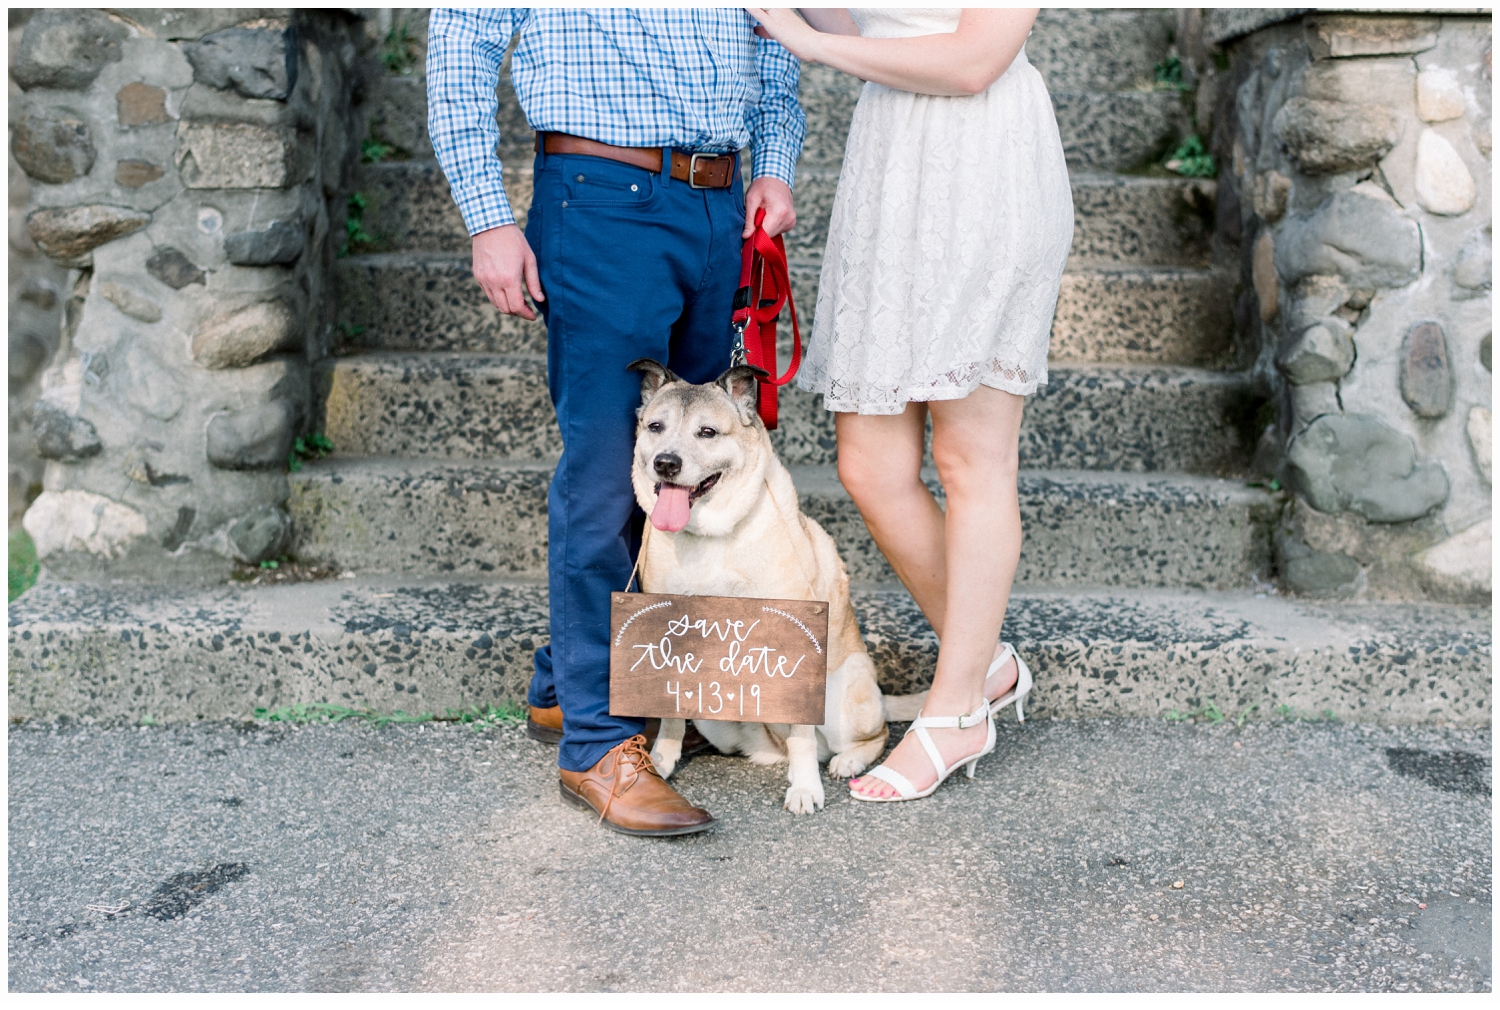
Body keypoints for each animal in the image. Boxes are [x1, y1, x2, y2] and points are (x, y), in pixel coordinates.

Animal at [624, 358, 888, 816]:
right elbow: (671, 711)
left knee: (873, 734)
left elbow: (804, 734)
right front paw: (661, 759)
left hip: (843, 697)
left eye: (707, 432)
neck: (710, 535)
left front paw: (805, 788)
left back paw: (847, 761)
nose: (666, 463)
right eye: (655, 426)